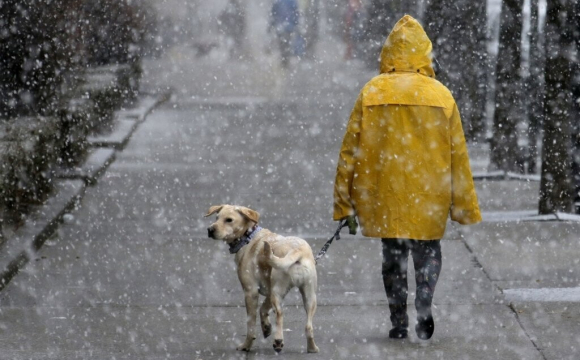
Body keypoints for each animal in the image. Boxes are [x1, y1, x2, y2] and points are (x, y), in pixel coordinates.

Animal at [206, 204, 320, 352]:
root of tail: (297, 250)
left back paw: (278, 341)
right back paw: (312, 348)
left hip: (278, 293)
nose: (210, 230)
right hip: (309, 296)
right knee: (308, 326)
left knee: (280, 315)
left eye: (229, 220)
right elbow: (263, 309)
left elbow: (251, 325)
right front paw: (266, 327)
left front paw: (246, 345)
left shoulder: (250, 292)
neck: (248, 237)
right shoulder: (269, 292)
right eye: (216, 218)